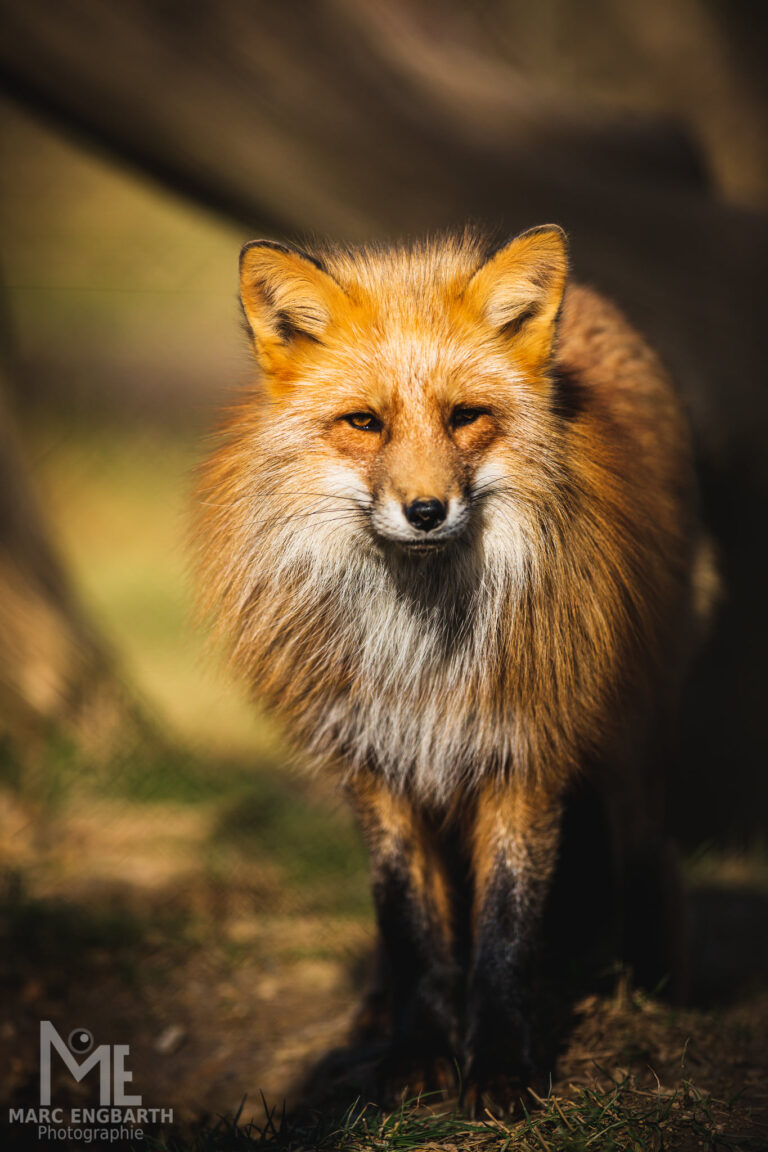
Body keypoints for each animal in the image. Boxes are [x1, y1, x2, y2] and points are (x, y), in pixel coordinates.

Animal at [193, 226, 715, 1111]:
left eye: (466, 417)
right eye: (364, 423)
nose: (427, 511)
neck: (424, 648)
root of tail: (594, 301)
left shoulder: (524, 748)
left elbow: (505, 929)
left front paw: (502, 1065)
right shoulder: (378, 762)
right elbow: (412, 927)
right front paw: (417, 1055)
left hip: (634, 732)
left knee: (648, 855)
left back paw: (653, 988)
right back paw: (376, 1011)